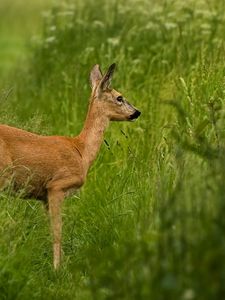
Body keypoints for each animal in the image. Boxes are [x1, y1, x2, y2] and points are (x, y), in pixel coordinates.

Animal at [0, 62, 141, 268]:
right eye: (119, 97)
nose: (137, 112)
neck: (81, 151)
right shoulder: (57, 186)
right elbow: (58, 232)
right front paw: (57, 268)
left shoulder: (44, 197)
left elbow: (52, 230)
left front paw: (63, 264)